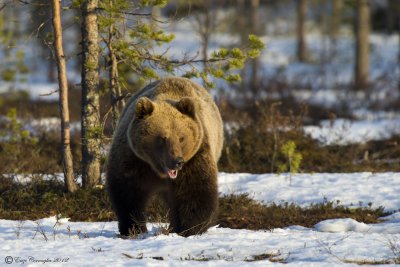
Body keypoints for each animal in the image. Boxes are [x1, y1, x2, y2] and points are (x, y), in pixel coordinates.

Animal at [106, 76, 223, 238]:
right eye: (162, 138)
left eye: (181, 138)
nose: (177, 162)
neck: (158, 170)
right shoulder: (134, 158)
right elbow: (127, 191)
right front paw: (133, 228)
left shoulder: (195, 156)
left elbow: (195, 191)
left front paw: (189, 228)